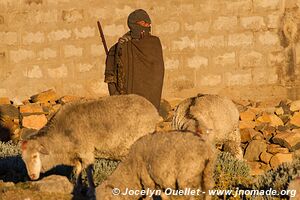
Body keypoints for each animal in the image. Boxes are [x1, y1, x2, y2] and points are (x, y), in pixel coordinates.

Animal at [20, 94, 161, 196]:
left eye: (35, 156)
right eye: (24, 159)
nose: (32, 176)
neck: (62, 134)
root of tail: (154, 111)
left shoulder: (86, 152)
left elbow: (88, 171)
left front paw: (91, 190)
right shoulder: (76, 154)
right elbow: (78, 170)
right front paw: (77, 188)